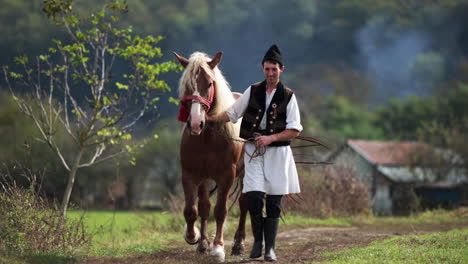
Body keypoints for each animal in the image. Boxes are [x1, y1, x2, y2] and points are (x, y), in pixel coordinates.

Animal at [175, 50, 249, 260]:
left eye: (209, 83)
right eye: (187, 84)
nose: (195, 123)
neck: (208, 138)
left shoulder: (227, 175)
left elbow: (221, 211)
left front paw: (218, 248)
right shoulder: (191, 174)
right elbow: (193, 210)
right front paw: (195, 237)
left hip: (245, 174)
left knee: (244, 204)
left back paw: (238, 244)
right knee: (205, 206)